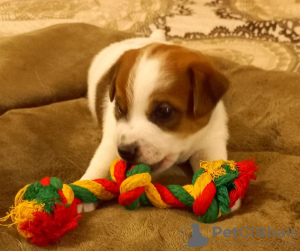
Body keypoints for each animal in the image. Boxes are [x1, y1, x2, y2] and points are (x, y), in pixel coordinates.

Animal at [78, 33, 240, 213]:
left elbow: (213, 163)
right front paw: (85, 190)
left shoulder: (209, 141)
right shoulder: (112, 139)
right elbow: (100, 164)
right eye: (119, 108)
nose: (125, 152)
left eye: (164, 111)